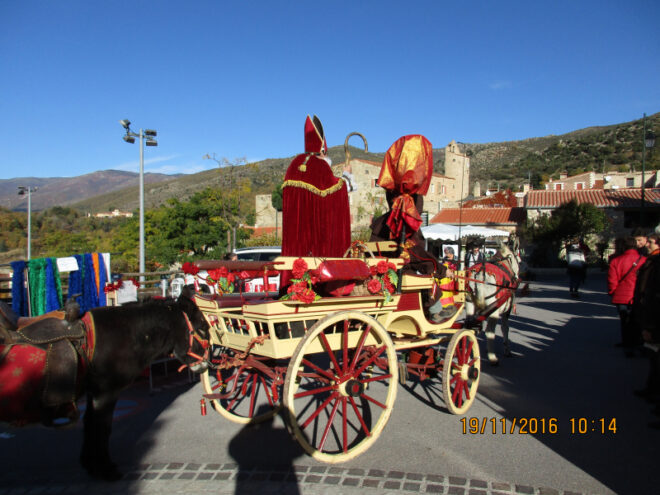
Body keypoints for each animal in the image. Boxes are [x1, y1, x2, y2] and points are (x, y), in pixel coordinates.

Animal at [0, 288, 209, 482]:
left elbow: (89, 424)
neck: (123, 334)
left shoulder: (94, 391)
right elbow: (102, 427)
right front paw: (106, 469)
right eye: (202, 328)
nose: (206, 364)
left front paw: (90, 465)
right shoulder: (106, 392)